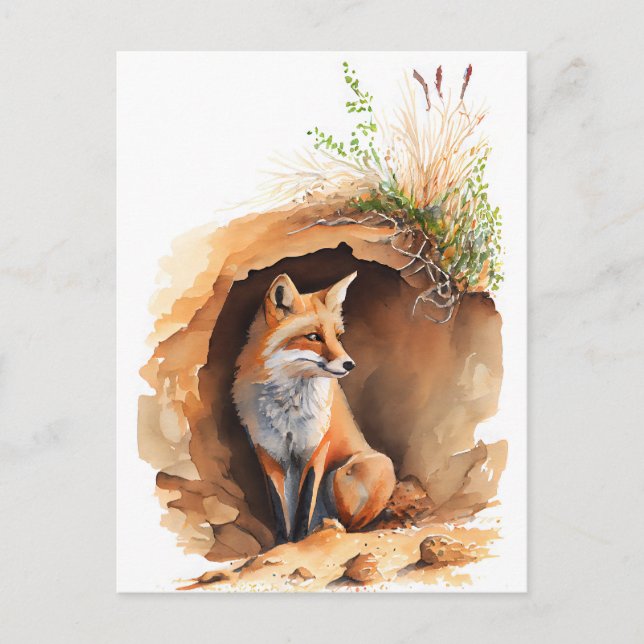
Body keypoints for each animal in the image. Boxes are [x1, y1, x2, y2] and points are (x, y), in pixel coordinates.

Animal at [232, 271, 396, 543]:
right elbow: (280, 508)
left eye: (337, 337)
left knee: (352, 525)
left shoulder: (315, 448)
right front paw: (282, 543)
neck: (289, 409)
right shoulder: (269, 452)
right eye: (313, 337)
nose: (350, 364)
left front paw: (299, 540)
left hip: (346, 472)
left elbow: (304, 503)